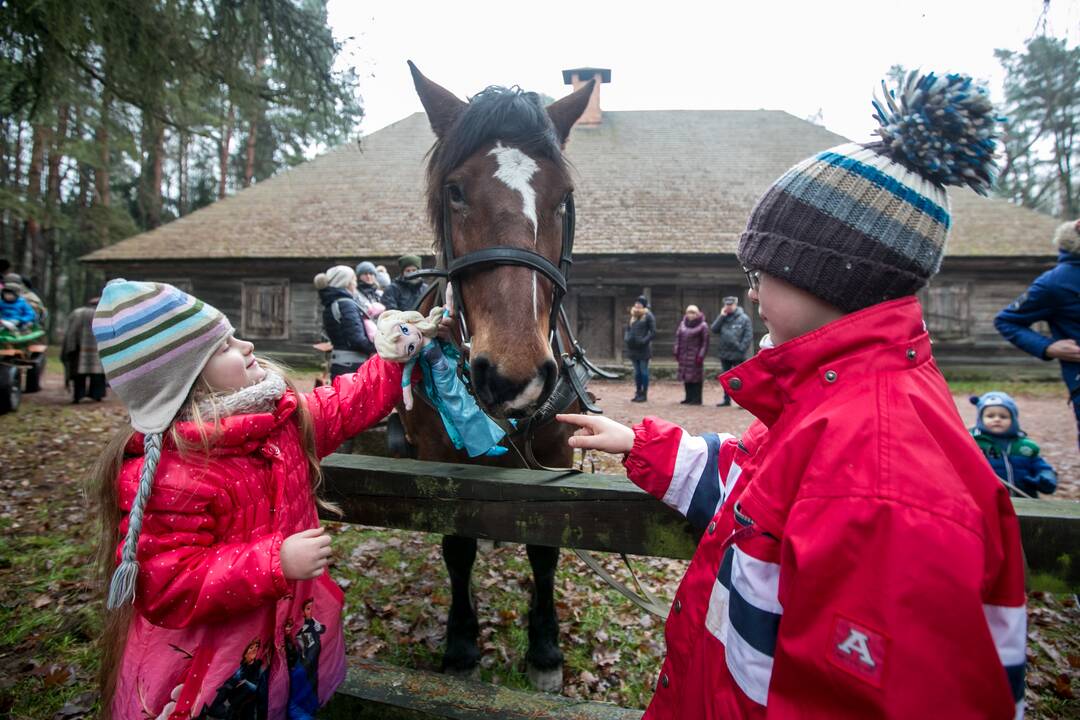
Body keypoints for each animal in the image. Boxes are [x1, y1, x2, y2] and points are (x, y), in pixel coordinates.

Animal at [399, 63, 596, 690]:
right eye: (455, 190)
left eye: (564, 199)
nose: (515, 376)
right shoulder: (439, 461)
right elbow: (457, 545)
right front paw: (462, 644)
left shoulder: (555, 454)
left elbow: (545, 547)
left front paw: (545, 648)